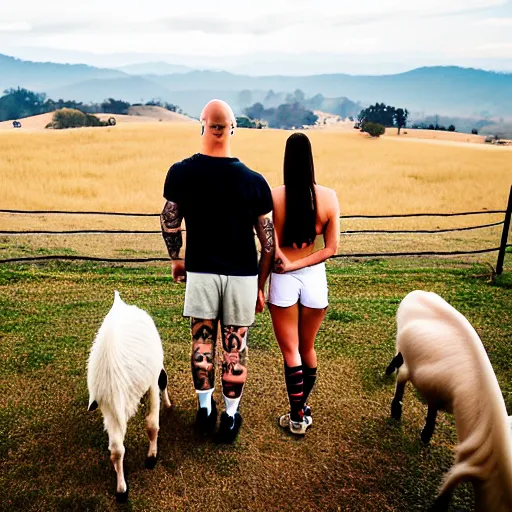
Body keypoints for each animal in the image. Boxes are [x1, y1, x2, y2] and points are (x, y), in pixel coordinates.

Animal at [88, 290, 172, 502]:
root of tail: (120, 303)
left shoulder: (149, 385)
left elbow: (150, 426)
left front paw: (151, 458)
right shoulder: (110, 409)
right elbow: (118, 449)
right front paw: (122, 489)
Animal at [386, 290, 512, 510]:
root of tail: (416, 293)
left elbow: (432, 409)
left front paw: (425, 436)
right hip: (406, 351)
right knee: (401, 374)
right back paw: (396, 409)